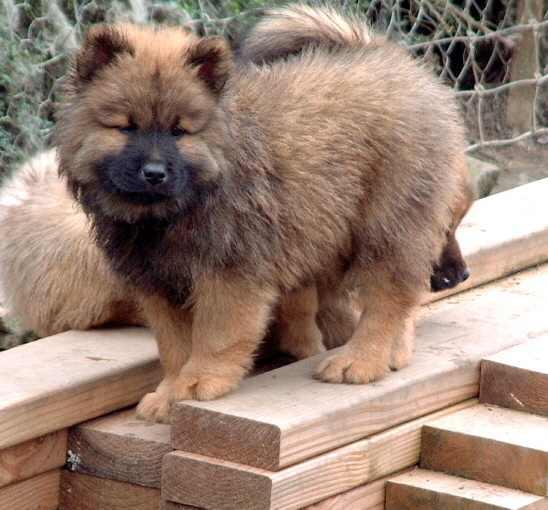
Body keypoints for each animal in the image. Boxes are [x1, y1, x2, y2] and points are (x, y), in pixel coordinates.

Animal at [54, 5, 466, 422]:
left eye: (178, 131)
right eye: (125, 127)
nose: (155, 173)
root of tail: (389, 58)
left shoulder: (229, 271)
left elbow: (215, 337)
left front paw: (199, 383)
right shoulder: (159, 281)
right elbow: (174, 347)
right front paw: (170, 395)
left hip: (387, 223)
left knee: (389, 294)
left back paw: (359, 361)